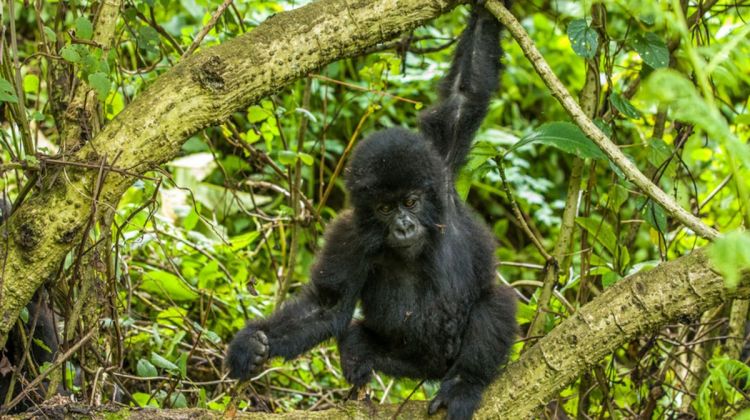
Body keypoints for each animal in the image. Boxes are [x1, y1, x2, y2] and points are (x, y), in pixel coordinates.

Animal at [228, 4, 516, 420]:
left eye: (410, 201)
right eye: (384, 208)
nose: (404, 226)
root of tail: (435, 370)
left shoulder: (439, 169)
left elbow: (465, 95)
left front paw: (485, 9)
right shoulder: (348, 235)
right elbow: (326, 305)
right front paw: (253, 342)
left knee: (496, 301)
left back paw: (465, 383)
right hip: (409, 364)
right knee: (353, 338)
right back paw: (360, 365)